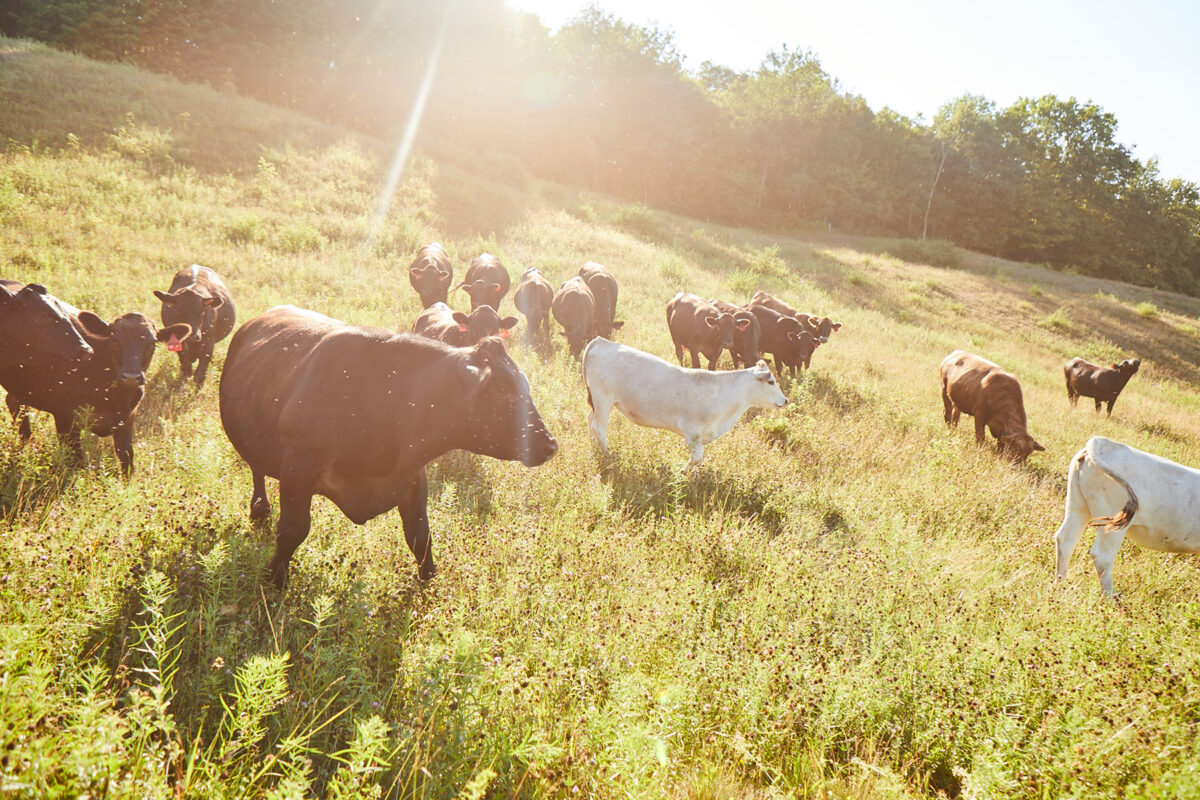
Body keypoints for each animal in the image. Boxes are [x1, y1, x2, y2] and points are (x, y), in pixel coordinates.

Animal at [0, 286, 192, 475]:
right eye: (114, 339)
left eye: (152, 343)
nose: (131, 377)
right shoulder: (64, 418)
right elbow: (76, 461)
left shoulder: (128, 417)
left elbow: (126, 458)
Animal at [219, 306, 556, 588]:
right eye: (501, 388)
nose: (548, 444)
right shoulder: (297, 469)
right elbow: (292, 530)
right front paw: (275, 579)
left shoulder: (412, 475)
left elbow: (420, 537)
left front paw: (428, 586)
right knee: (257, 470)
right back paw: (260, 509)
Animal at [582, 337, 787, 467]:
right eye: (771, 382)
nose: (784, 400)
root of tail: (601, 342)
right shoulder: (691, 431)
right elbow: (696, 459)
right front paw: (679, 472)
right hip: (603, 399)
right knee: (599, 427)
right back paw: (607, 455)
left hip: (597, 402)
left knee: (591, 421)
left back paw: (595, 449)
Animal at [1054, 436, 1200, 595]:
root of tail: (1106, 443)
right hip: (1112, 524)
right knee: (1102, 556)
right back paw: (1111, 598)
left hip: (1078, 505)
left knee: (1066, 540)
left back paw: (1059, 589)